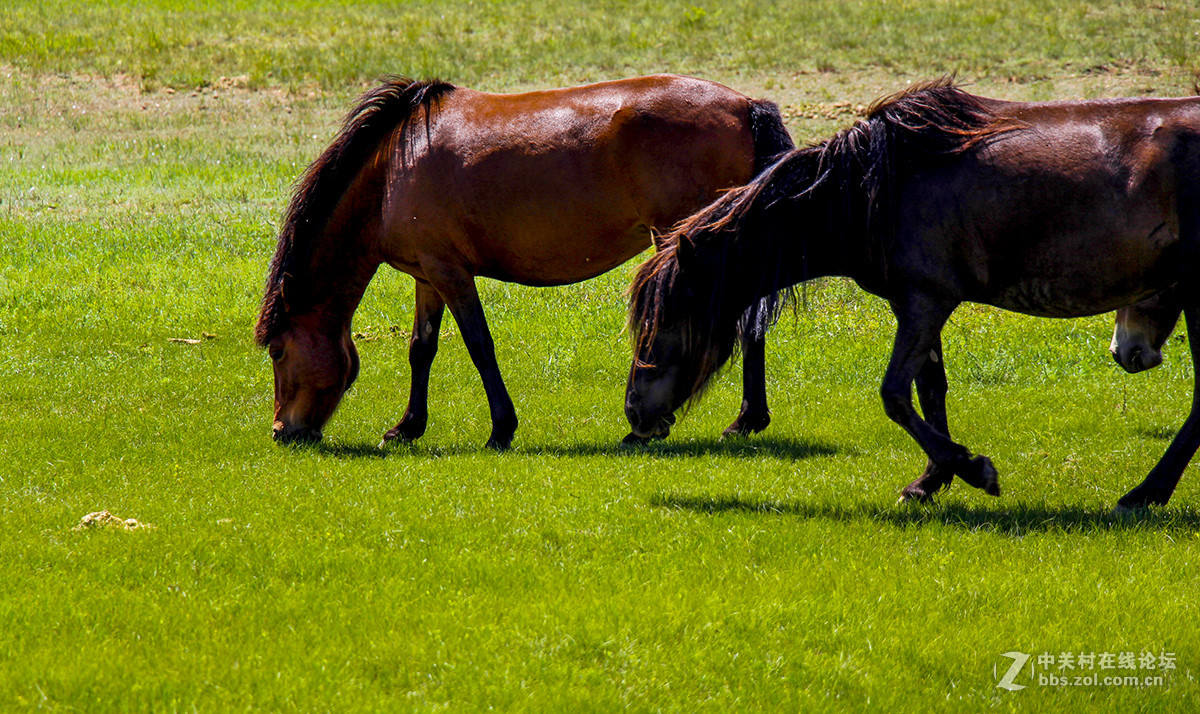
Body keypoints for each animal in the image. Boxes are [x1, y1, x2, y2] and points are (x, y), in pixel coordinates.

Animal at [253, 75, 792, 448]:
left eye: (277, 352)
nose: (282, 430)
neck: (391, 170)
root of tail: (746, 106)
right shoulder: (428, 274)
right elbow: (421, 348)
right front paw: (407, 427)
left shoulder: (451, 273)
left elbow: (479, 345)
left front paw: (500, 429)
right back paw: (745, 419)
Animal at [628, 81, 1200, 511]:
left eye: (665, 324)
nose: (634, 414)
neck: (872, 189)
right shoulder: (923, 305)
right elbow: (930, 390)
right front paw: (933, 479)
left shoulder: (923, 304)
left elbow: (895, 395)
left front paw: (971, 468)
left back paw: (1142, 495)